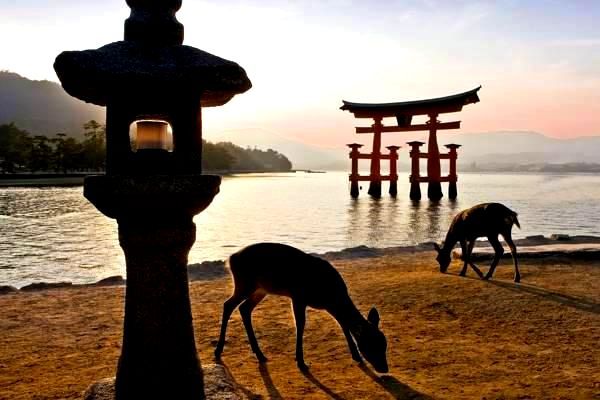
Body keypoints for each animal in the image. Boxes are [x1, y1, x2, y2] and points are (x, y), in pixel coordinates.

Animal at [214, 242, 390, 374]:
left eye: (384, 344)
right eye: (371, 346)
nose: (385, 368)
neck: (331, 293)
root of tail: (230, 259)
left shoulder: (329, 306)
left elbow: (343, 324)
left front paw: (356, 356)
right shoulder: (298, 296)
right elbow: (301, 325)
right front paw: (301, 362)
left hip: (260, 289)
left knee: (244, 309)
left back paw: (260, 354)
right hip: (245, 284)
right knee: (228, 305)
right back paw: (218, 350)